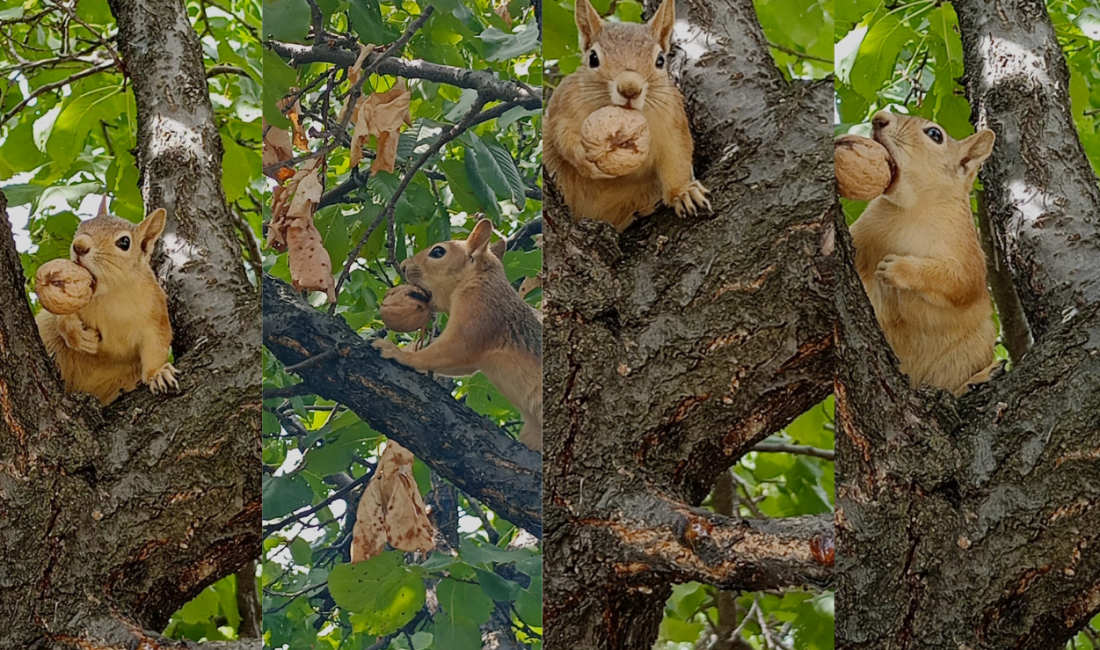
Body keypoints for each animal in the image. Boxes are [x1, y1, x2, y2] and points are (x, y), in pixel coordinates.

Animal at [34, 203, 178, 406]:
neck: (109, 294)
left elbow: (157, 345)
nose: (79, 246)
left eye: (124, 242)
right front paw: (78, 336)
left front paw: (158, 374)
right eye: (81, 226)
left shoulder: (156, 313)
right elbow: (61, 316)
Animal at [371, 221, 543, 450]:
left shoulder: (481, 311)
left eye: (438, 252)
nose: (405, 266)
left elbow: (453, 349)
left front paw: (399, 354)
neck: (477, 278)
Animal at [543, 0, 712, 230]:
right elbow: (563, 139)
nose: (630, 89)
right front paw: (586, 159)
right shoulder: (563, 108)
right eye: (593, 58)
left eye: (660, 60)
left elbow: (677, 158)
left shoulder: (674, 122)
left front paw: (684, 193)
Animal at [849, 110, 1007, 395]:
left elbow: (960, 282)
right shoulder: (866, 228)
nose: (879, 117)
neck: (913, 207)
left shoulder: (968, 254)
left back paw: (974, 381)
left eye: (935, 134)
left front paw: (898, 269)